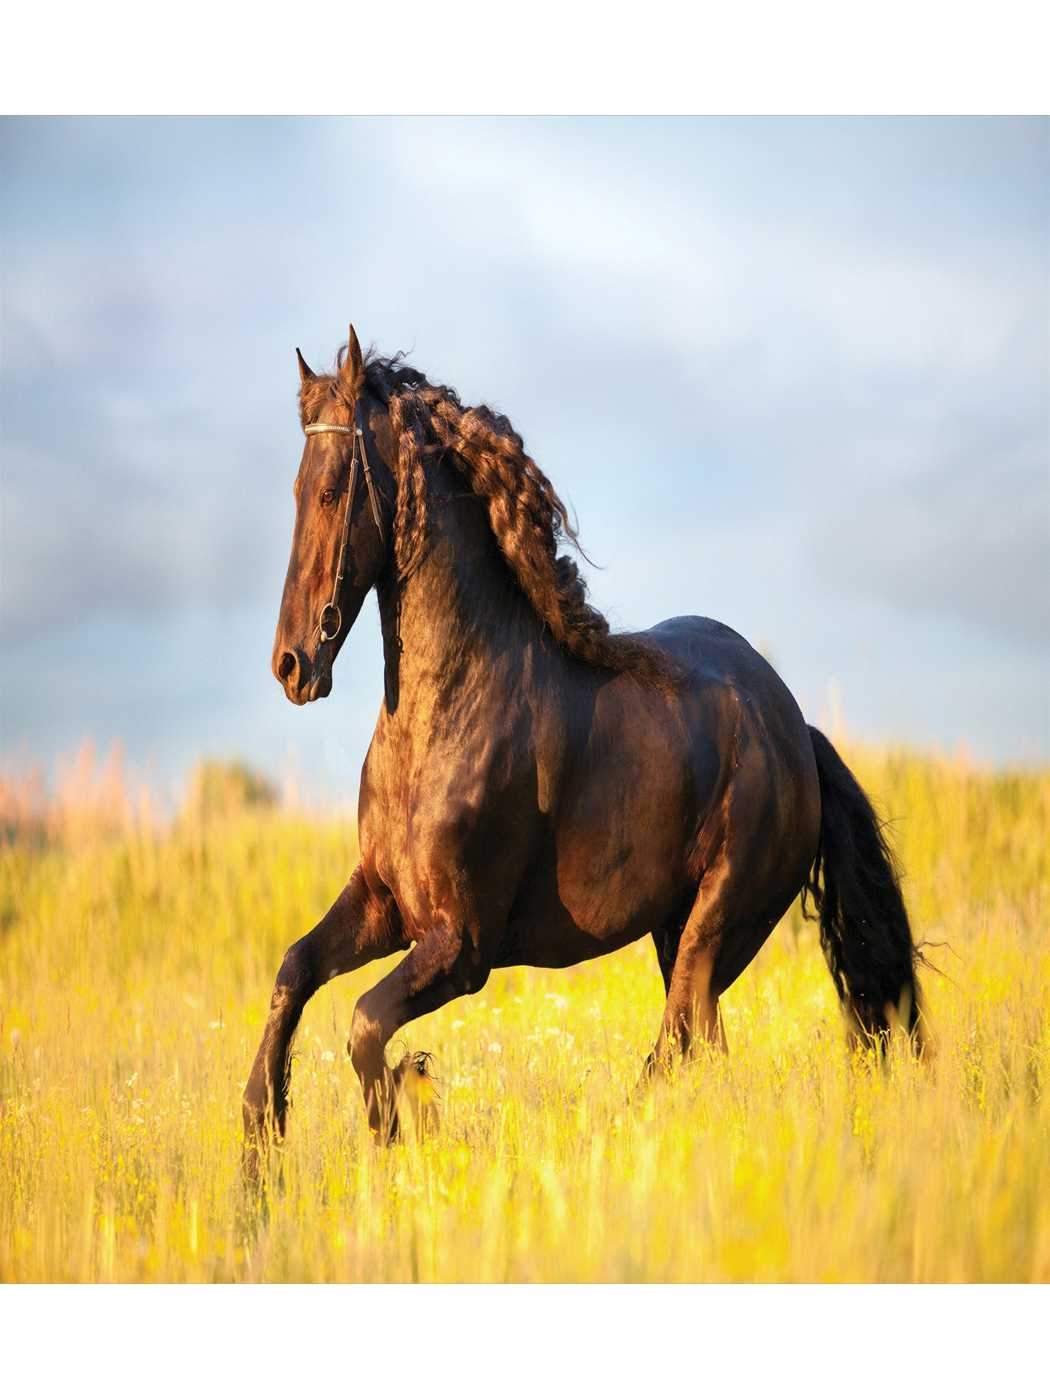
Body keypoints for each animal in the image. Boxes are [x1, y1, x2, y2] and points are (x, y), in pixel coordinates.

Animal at [242, 327, 924, 1159]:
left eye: (335, 489)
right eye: (295, 489)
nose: (292, 665)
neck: (440, 720)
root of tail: (796, 729)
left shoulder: (461, 946)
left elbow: (367, 1024)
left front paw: (406, 1116)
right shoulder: (383, 901)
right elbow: (294, 970)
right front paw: (260, 1141)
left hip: (716, 922)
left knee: (677, 1040)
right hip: (675, 930)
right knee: (701, 1043)